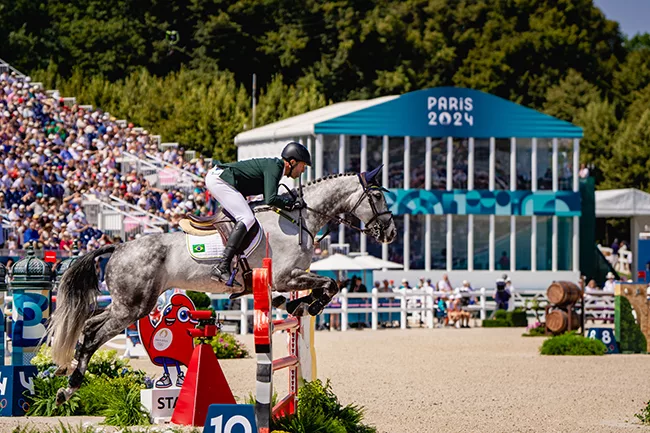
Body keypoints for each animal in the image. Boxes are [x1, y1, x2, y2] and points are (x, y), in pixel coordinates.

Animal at [46, 167, 394, 404]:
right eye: (377, 196)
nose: (390, 232)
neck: (299, 219)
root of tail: (117, 246)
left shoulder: (275, 281)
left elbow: (297, 296)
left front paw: (298, 304)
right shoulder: (285, 275)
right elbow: (330, 283)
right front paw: (312, 304)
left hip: (126, 304)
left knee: (88, 324)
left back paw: (65, 376)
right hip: (133, 307)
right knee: (93, 337)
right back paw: (68, 388)